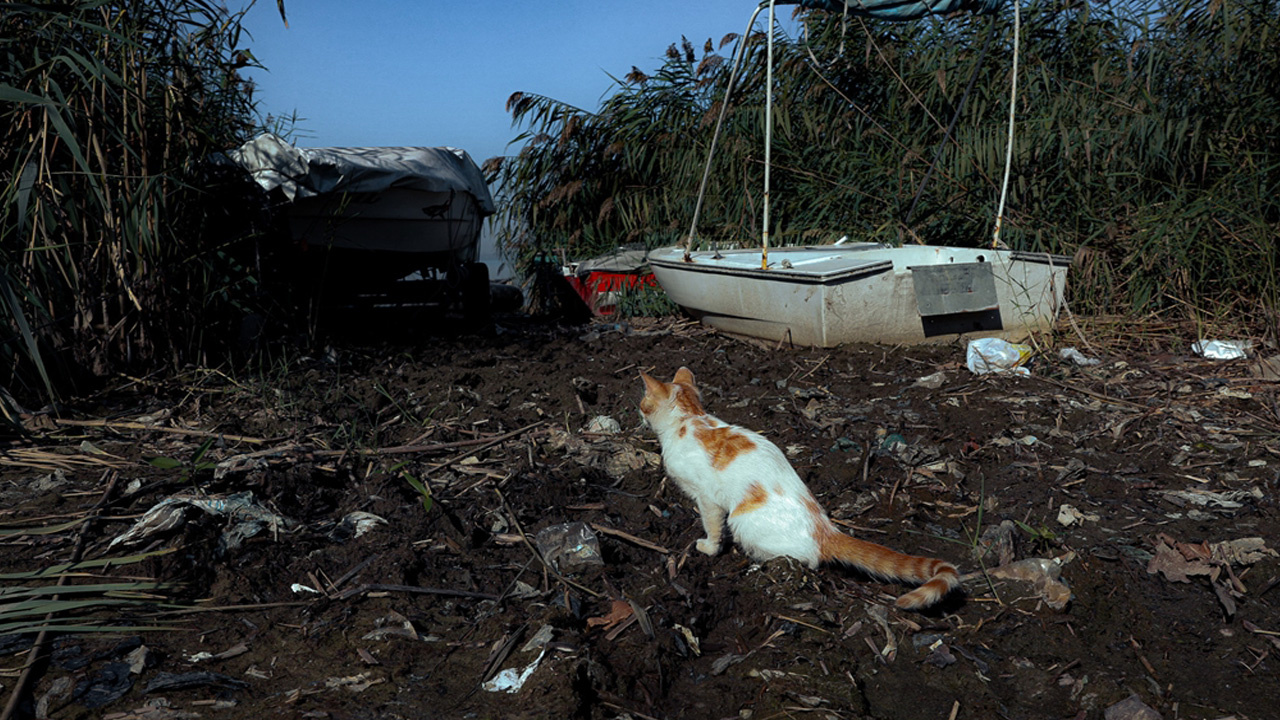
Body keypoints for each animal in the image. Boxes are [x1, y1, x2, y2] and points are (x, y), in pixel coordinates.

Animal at [640, 366, 962, 607]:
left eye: (643, 402)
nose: (637, 411)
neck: (690, 417)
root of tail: (826, 530)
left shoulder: (707, 498)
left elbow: (712, 527)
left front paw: (708, 548)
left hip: (742, 520)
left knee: (807, 560)